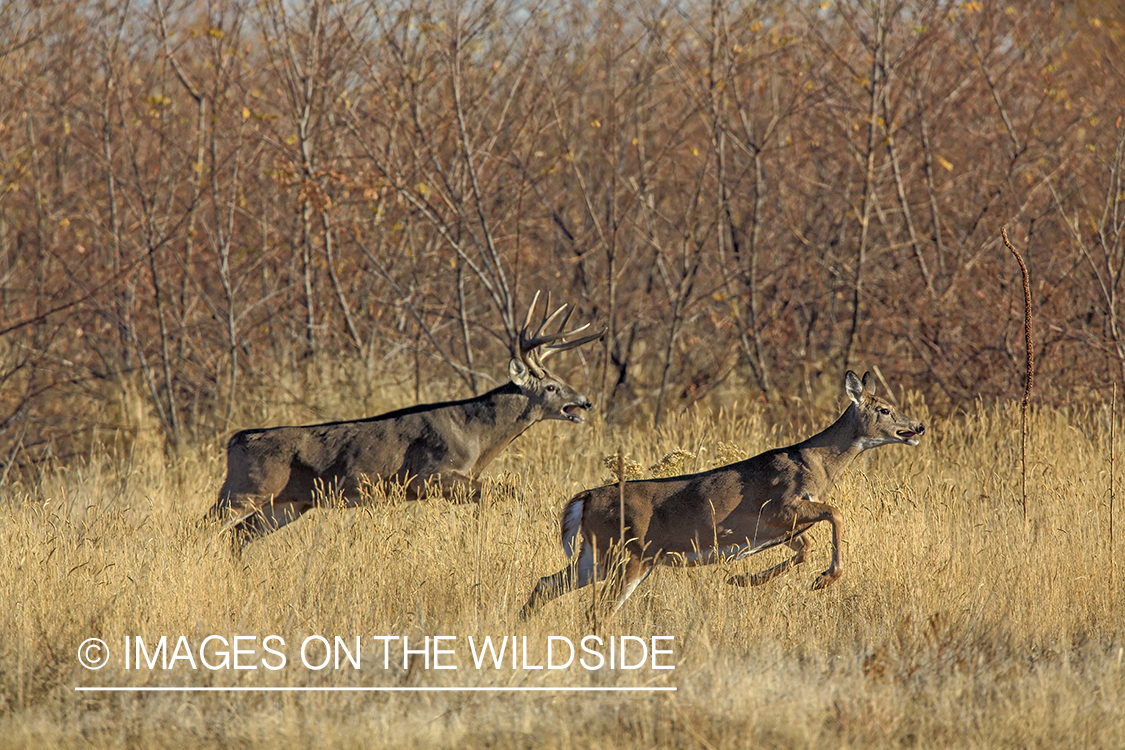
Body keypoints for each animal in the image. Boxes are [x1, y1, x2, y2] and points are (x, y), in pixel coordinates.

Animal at [208, 292, 603, 550]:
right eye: (551, 386)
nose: (585, 401)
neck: (476, 437)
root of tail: (234, 440)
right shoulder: (429, 474)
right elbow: (508, 491)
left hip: (286, 505)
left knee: (238, 536)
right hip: (245, 489)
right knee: (207, 526)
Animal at [522, 373, 927, 620]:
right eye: (885, 408)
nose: (918, 426)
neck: (815, 463)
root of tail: (586, 497)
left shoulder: (778, 527)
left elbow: (805, 546)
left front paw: (745, 580)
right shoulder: (780, 505)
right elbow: (836, 513)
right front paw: (824, 579)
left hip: (596, 556)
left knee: (545, 583)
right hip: (629, 554)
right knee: (598, 610)